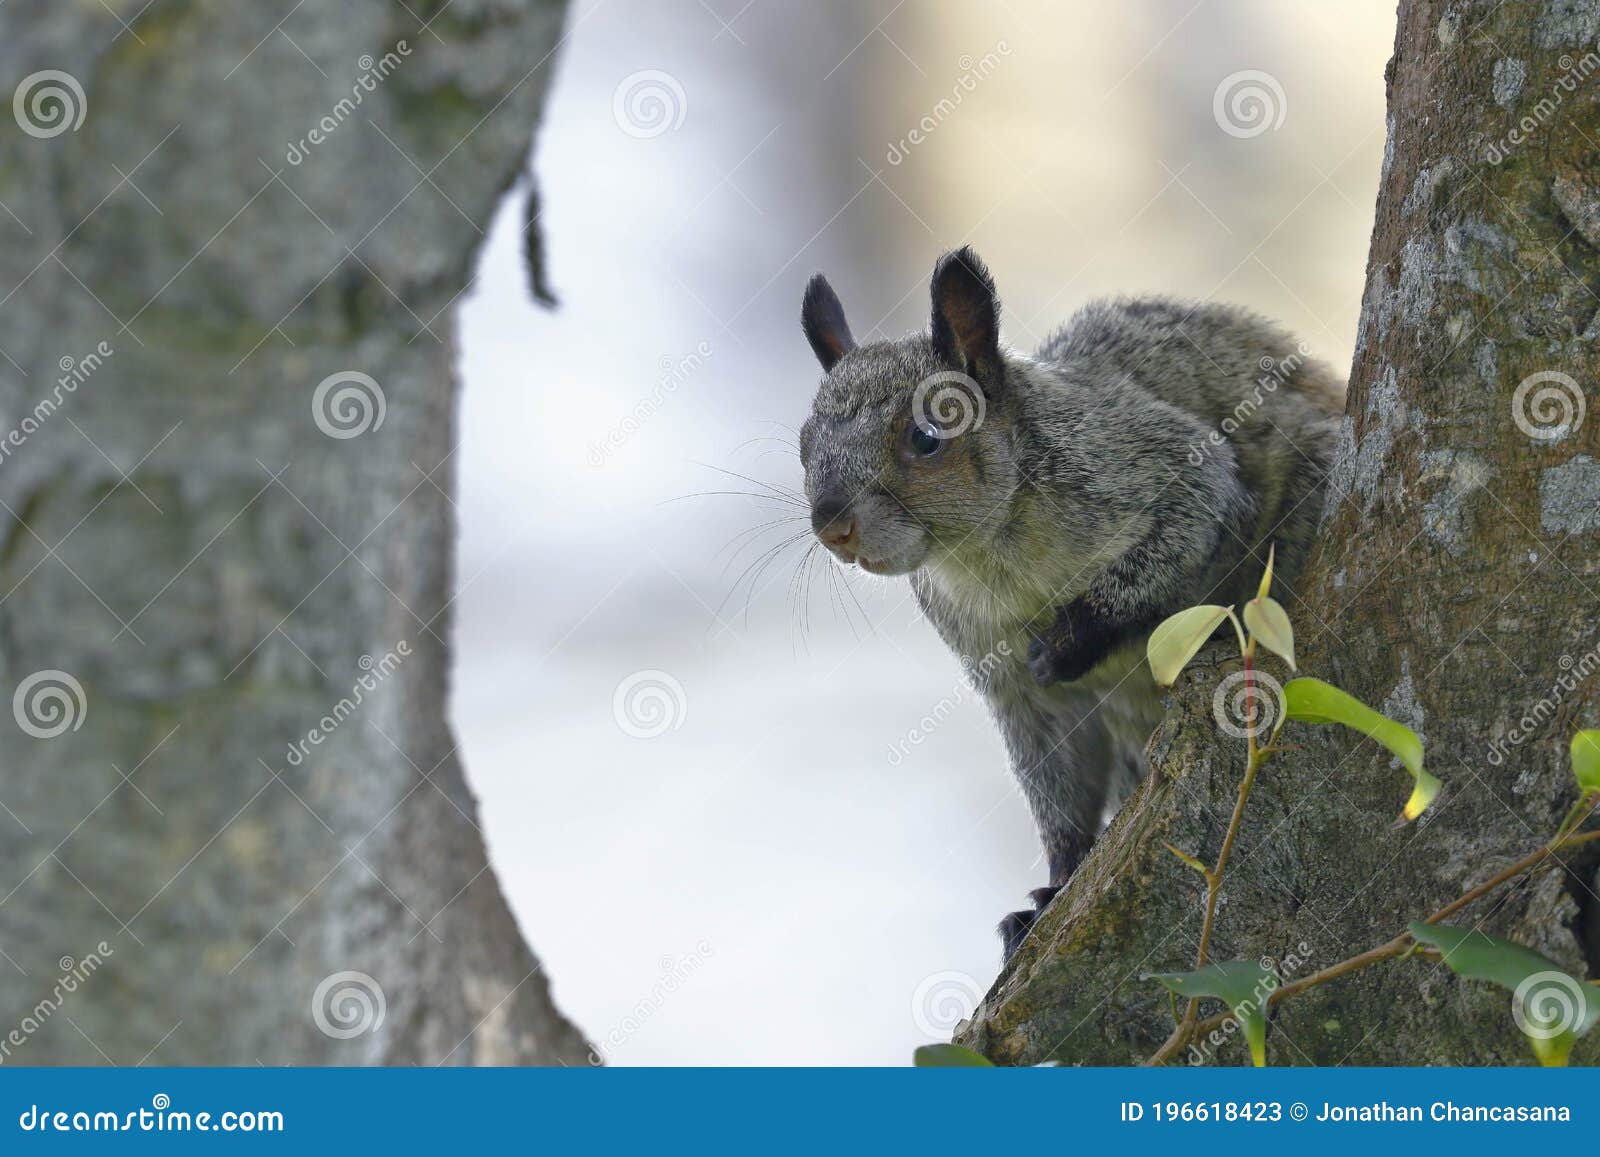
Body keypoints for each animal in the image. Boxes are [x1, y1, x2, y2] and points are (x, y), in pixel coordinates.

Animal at [796, 251, 1337, 960]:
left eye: (926, 436)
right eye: (803, 445)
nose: (831, 525)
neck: (989, 557)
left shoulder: (1143, 464)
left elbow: (1188, 523)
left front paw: (1069, 642)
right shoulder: (1006, 680)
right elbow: (1057, 780)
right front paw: (1052, 889)